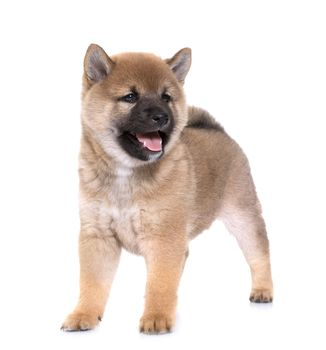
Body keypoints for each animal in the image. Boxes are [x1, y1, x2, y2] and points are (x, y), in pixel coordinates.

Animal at [61, 44, 272, 334]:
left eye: (166, 97)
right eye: (130, 96)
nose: (161, 116)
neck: (127, 173)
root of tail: (219, 130)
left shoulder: (163, 236)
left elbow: (159, 283)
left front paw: (157, 317)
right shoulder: (98, 235)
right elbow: (92, 283)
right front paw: (84, 314)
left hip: (243, 216)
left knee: (259, 254)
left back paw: (263, 290)